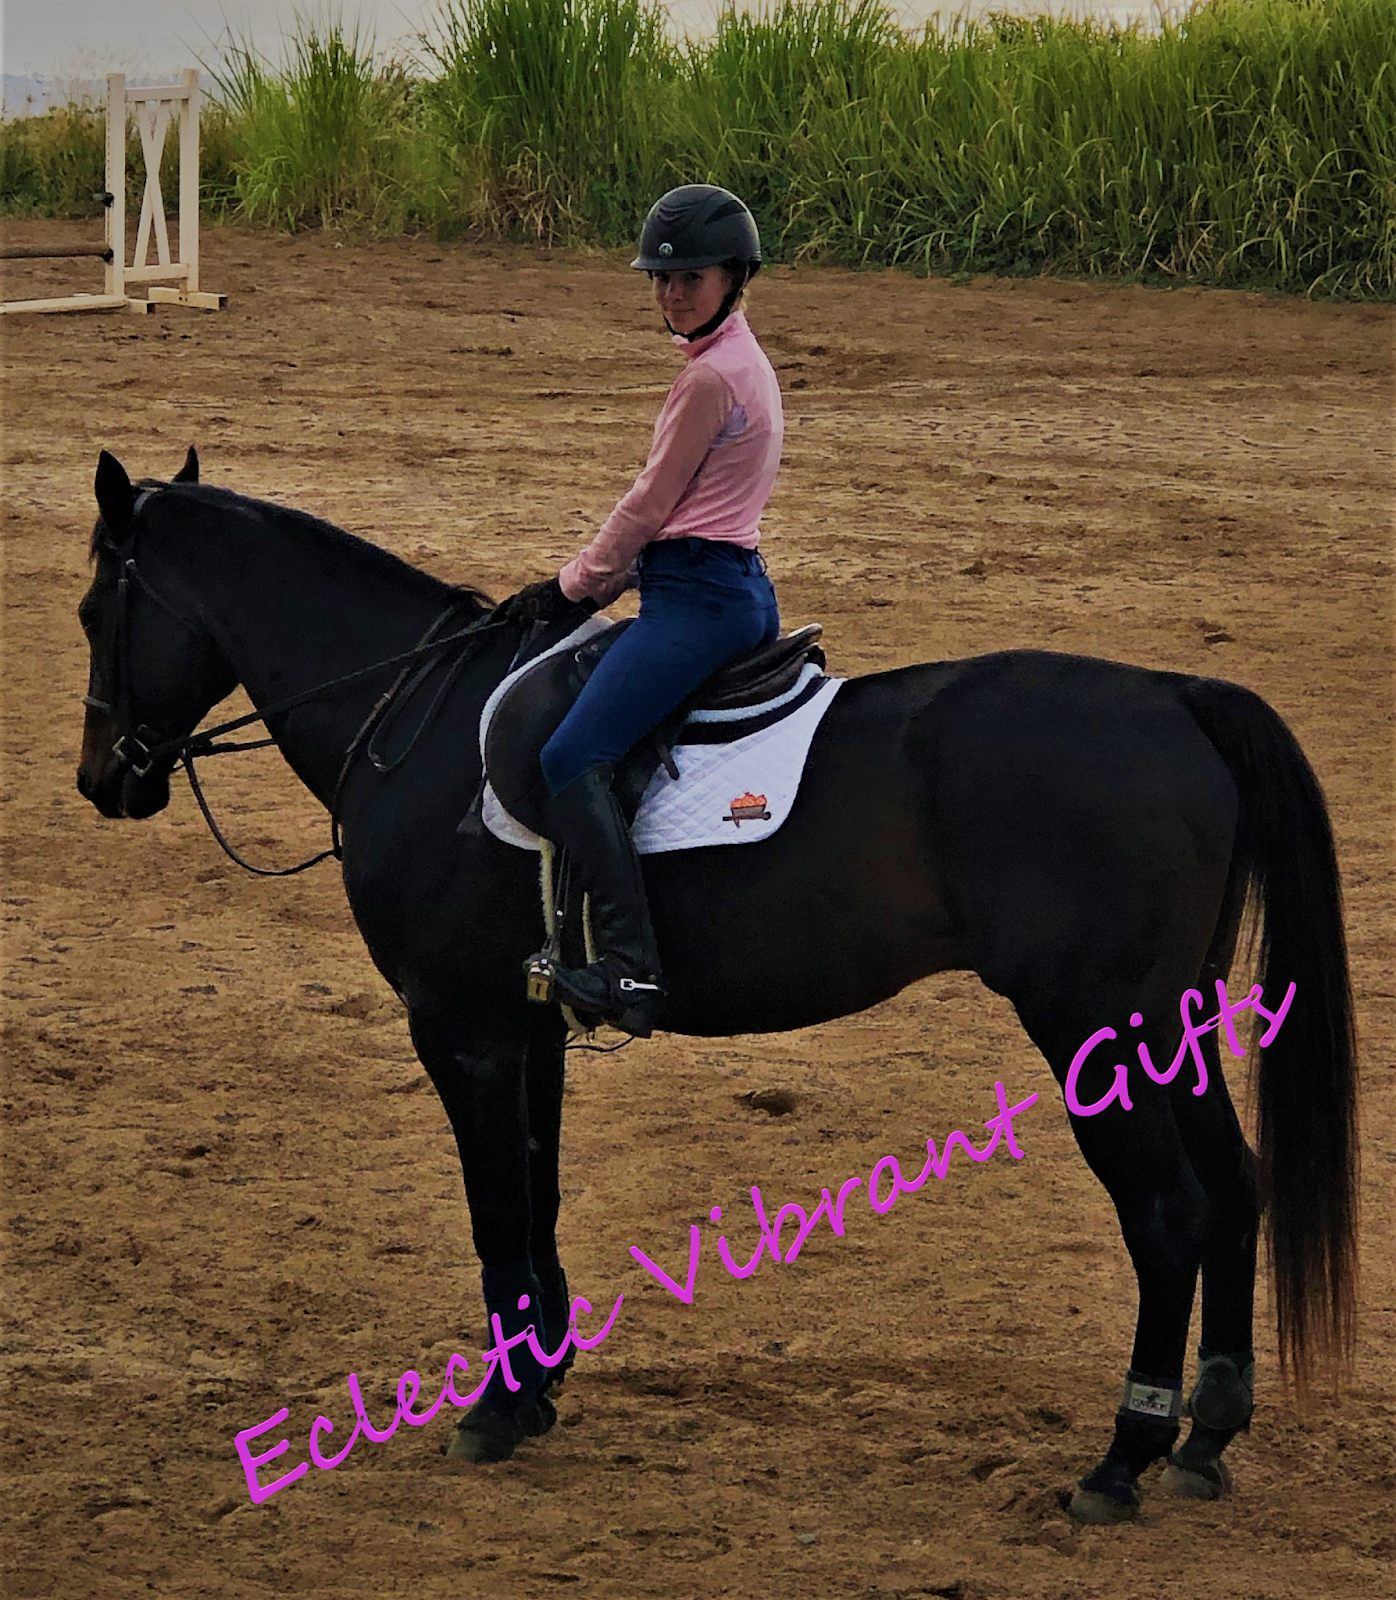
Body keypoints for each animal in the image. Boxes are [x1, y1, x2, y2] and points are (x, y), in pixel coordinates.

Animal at [74, 448, 1357, 1520]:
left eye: (96, 611)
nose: (102, 781)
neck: (418, 723)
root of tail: (1172, 695)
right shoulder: (531, 1027)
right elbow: (536, 1199)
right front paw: (541, 1384)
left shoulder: (460, 1027)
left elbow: (496, 1211)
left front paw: (495, 1410)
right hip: (1170, 1020)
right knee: (1234, 1185)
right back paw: (1207, 1434)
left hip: (1098, 1026)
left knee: (1169, 1212)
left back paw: (1122, 1459)